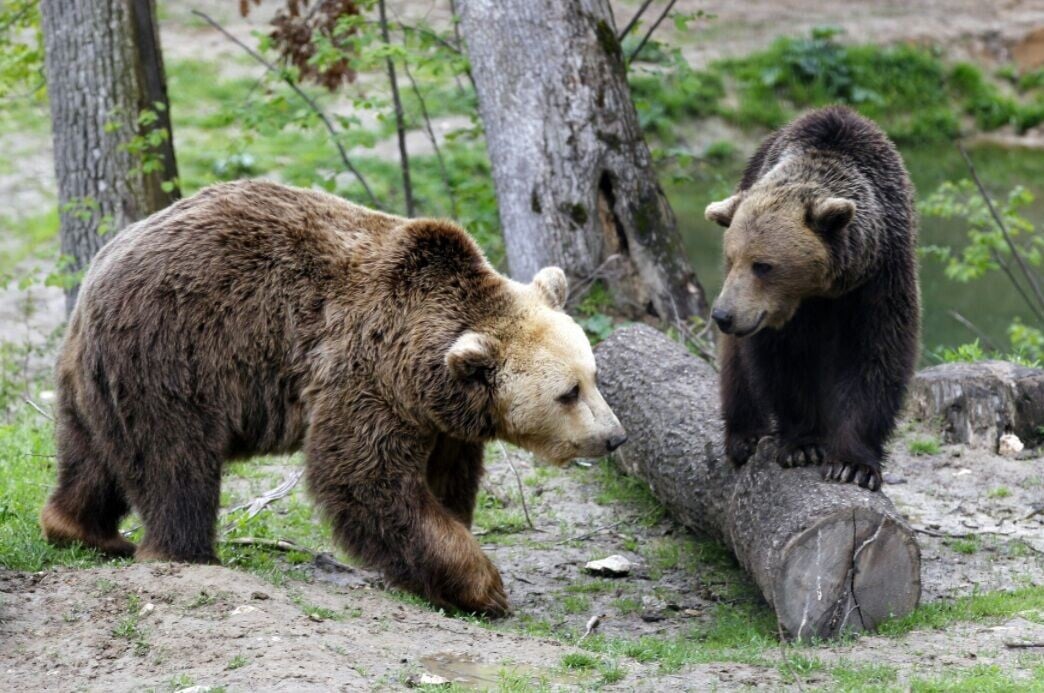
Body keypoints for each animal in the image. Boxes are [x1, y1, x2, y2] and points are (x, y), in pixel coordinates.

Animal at [40, 179, 627, 616]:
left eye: (595, 376)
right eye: (568, 392)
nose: (614, 437)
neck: (423, 366)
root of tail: (97, 270)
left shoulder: (439, 417)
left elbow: (446, 480)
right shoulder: (367, 375)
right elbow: (363, 477)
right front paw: (484, 586)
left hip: (93, 378)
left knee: (94, 457)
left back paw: (85, 531)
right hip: (173, 354)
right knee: (175, 461)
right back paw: (184, 553)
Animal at [703, 106, 919, 491]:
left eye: (763, 265)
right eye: (731, 258)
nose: (724, 315)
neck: (821, 290)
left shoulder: (880, 276)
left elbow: (877, 354)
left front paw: (853, 465)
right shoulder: (781, 314)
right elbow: (784, 361)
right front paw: (803, 445)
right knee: (736, 368)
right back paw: (744, 437)